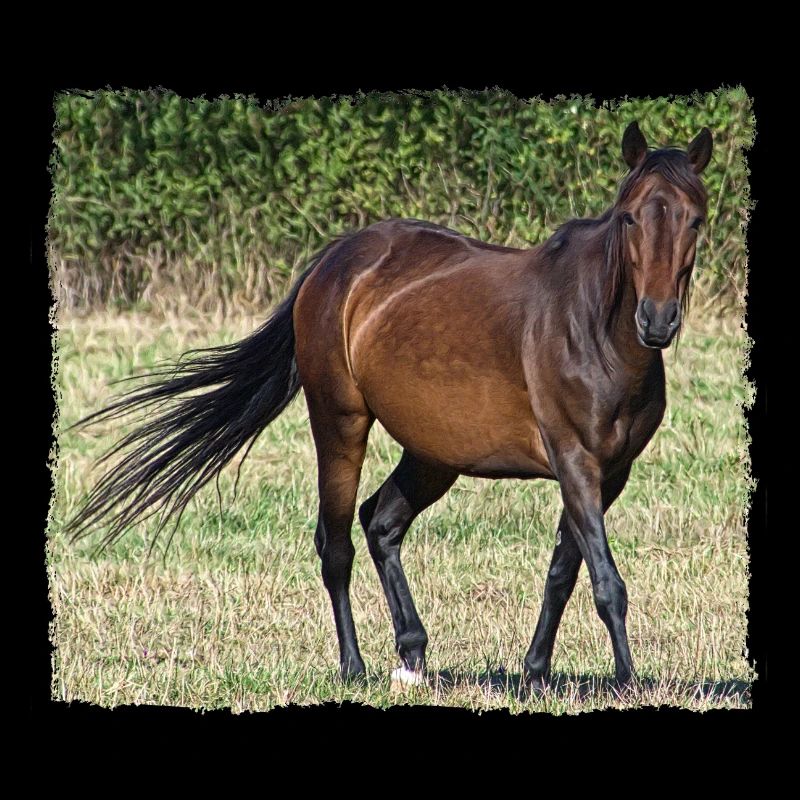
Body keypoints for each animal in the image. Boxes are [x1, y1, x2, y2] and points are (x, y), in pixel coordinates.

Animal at [63, 121, 713, 691]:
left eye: (695, 219)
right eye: (630, 216)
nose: (657, 321)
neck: (594, 328)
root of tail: (335, 263)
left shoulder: (609, 472)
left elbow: (563, 573)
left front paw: (535, 675)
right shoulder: (575, 462)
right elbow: (605, 582)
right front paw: (626, 681)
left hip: (433, 453)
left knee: (382, 521)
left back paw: (413, 654)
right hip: (340, 424)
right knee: (336, 545)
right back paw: (354, 667)